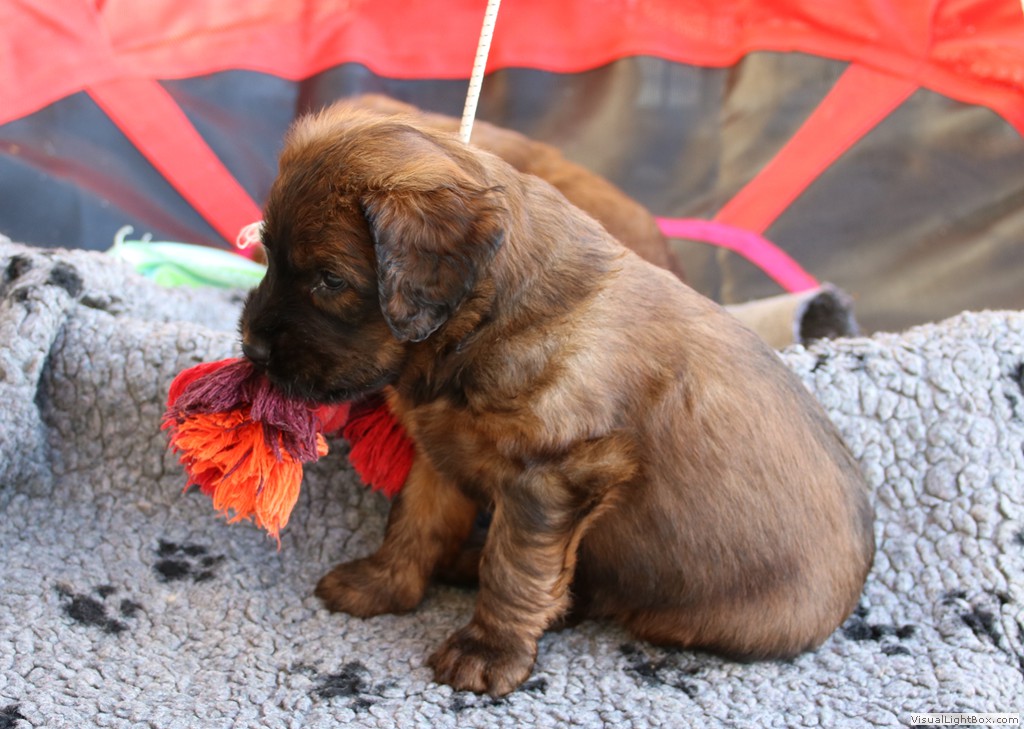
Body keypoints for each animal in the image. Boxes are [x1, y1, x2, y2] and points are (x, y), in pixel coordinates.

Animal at [240, 103, 875, 696]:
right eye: (267, 253)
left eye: (330, 280)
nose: (253, 349)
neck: (488, 322)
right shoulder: (442, 450)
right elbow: (415, 522)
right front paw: (383, 585)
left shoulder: (553, 477)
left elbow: (516, 568)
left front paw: (488, 652)